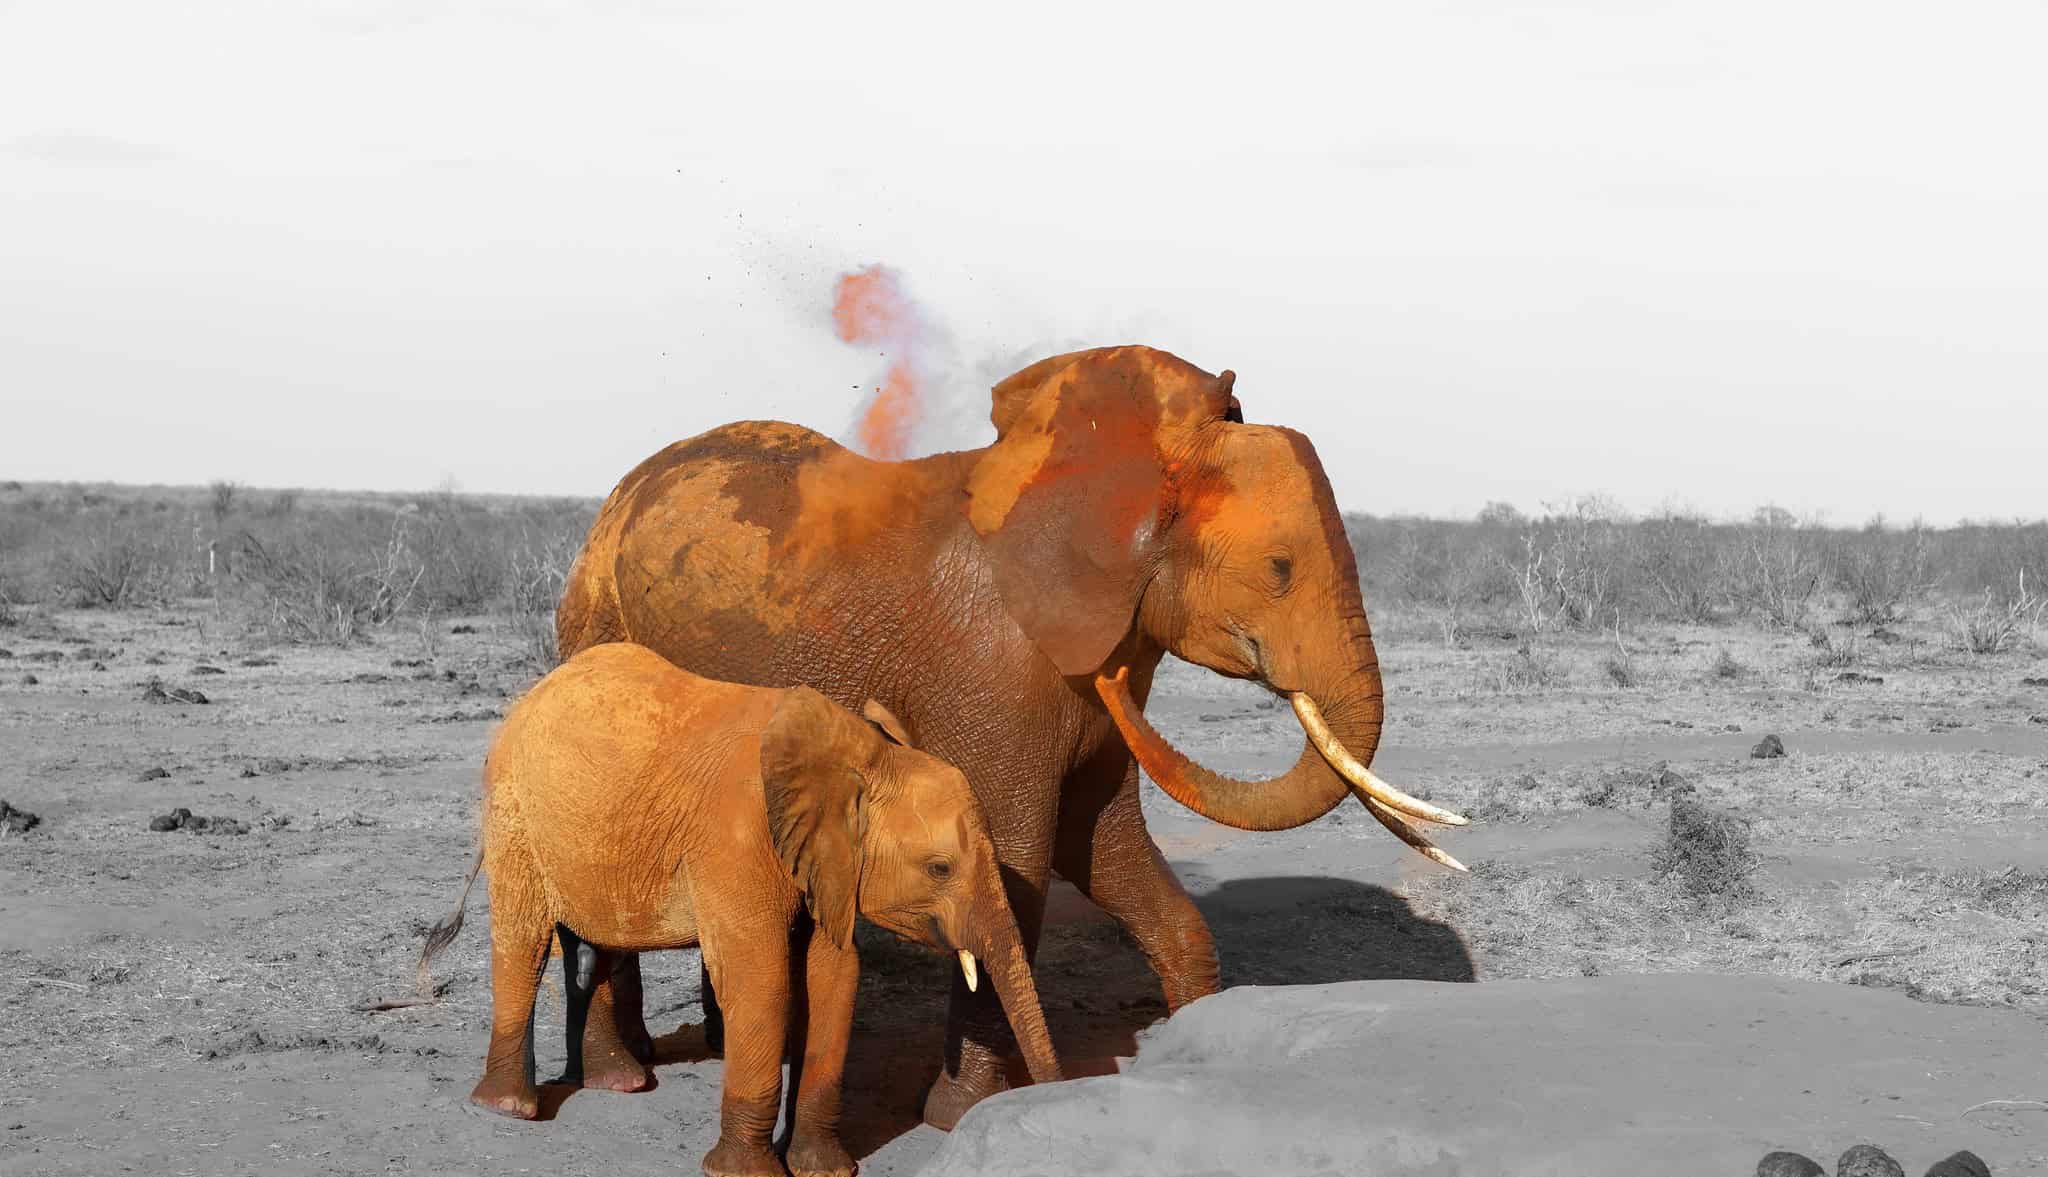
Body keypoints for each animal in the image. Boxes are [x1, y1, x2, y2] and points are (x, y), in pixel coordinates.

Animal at [418, 642, 1060, 1177]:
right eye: (940, 869)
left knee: (597, 943)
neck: (862, 754)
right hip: (514, 814)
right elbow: (763, 979)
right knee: (525, 941)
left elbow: (833, 976)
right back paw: (509, 1107)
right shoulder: (740, 838)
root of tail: (529, 697)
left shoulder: (821, 861)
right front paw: (745, 1173)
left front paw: (823, 1170)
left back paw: (618, 1083)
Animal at [553, 344, 1466, 1127]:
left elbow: (1102, 847)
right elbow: (1015, 865)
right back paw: (620, 1076)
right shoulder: (991, 666)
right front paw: (959, 1113)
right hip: (594, 623)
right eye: (1280, 571)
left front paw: (1204, 1052)